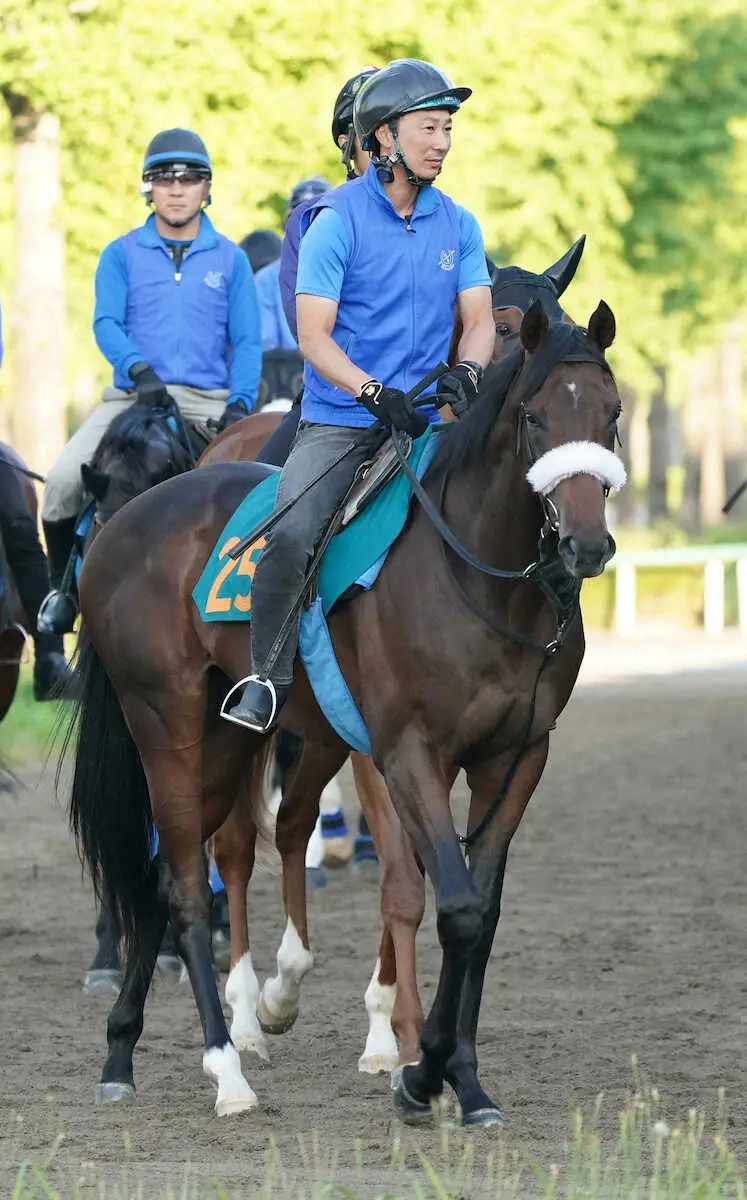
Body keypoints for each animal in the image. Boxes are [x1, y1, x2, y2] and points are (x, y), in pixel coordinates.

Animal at [64, 285, 624, 1118]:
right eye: (533, 417)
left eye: (611, 412)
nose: (585, 545)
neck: (477, 578)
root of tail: (121, 525)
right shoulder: (406, 752)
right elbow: (446, 902)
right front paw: (418, 1070)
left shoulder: (517, 756)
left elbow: (481, 915)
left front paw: (462, 1077)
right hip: (164, 722)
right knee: (191, 882)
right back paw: (227, 1069)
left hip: (227, 735)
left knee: (170, 870)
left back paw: (120, 1050)